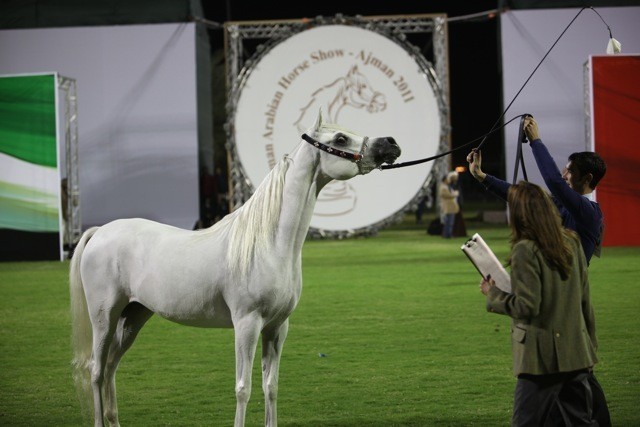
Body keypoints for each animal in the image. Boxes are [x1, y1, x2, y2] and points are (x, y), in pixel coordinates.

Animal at [70, 110, 401, 427]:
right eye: (341, 138)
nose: (390, 143)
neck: (270, 244)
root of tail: (99, 232)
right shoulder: (247, 323)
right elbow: (243, 388)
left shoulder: (277, 327)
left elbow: (271, 386)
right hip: (104, 317)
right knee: (96, 370)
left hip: (134, 316)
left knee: (111, 367)